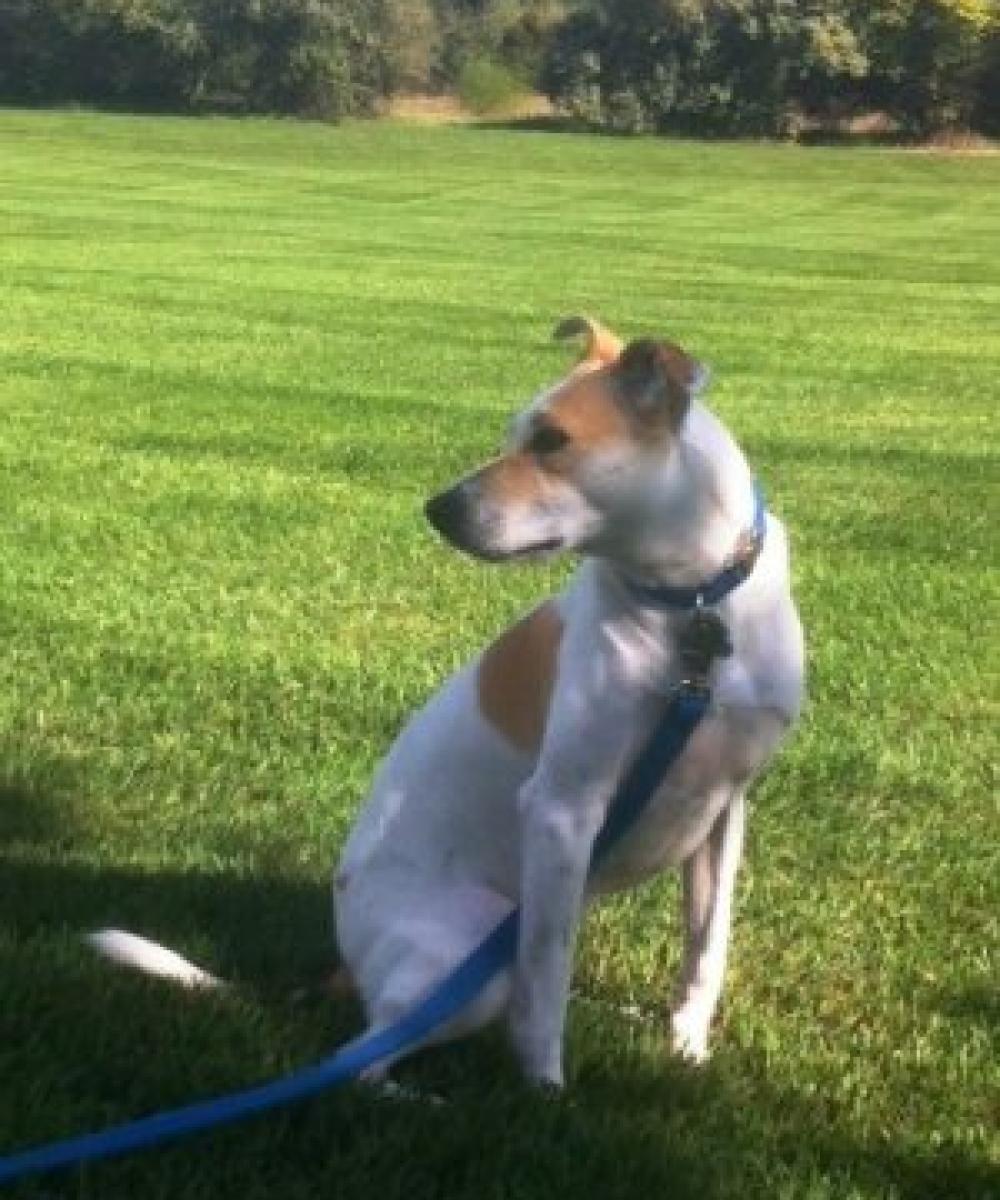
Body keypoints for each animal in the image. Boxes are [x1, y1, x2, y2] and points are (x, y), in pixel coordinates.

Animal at [332, 317, 805, 1086]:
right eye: (514, 432)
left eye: (552, 440)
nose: (438, 510)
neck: (692, 613)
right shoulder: (564, 810)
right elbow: (547, 972)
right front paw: (545, 1089)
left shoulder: (726, 809)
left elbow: (707, 948)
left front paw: (688, 1050)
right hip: (466, 955)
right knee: (363, 1054)